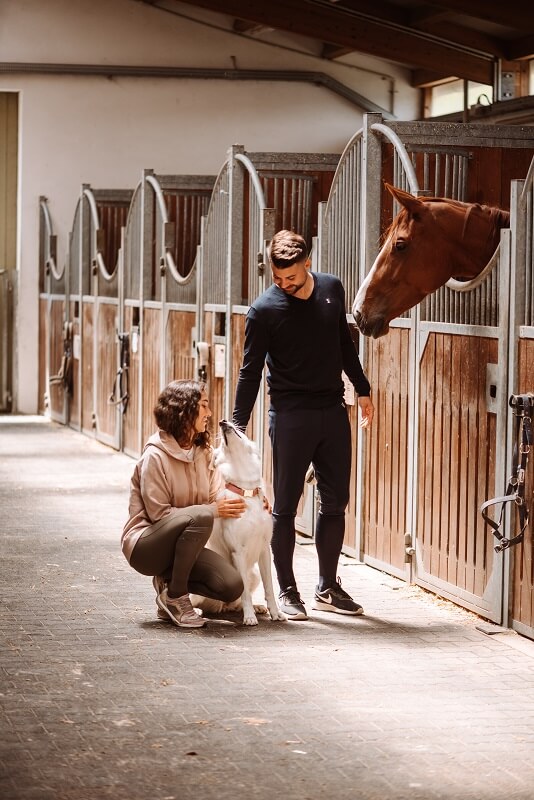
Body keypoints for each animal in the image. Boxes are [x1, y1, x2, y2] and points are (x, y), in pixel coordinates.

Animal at [192, 418, 286, 624]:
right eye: (221, 445)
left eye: (241, 432)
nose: (222, 421)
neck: (247, 491)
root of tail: (220, 607)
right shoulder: (238, 552)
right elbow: (244, 592)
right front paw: (249, 617)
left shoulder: (265, 549)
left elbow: (270, 587)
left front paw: (275, 612)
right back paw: (196, 611)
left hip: (254, 574)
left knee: (234, 603)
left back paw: (256, 607)